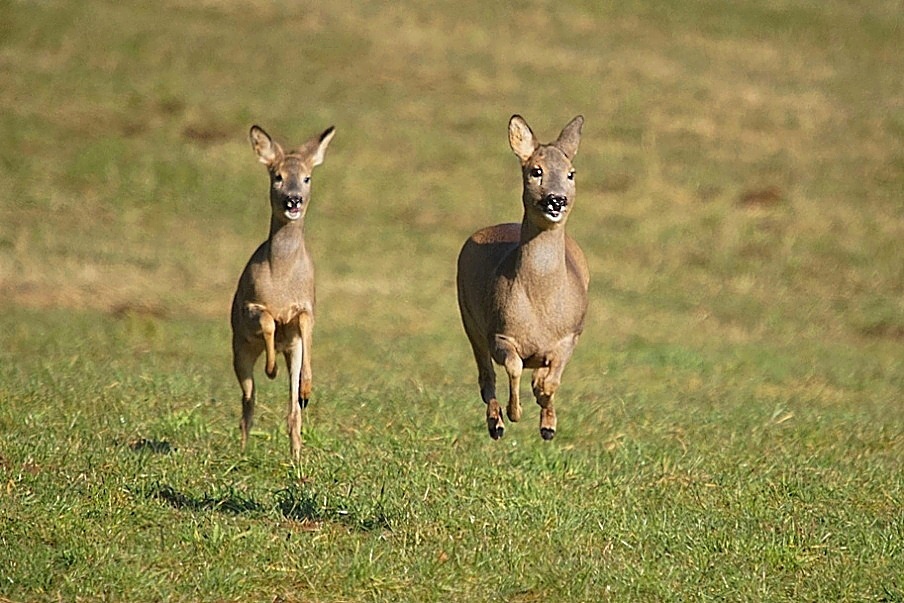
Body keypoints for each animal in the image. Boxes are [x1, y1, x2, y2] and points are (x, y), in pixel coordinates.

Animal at [230, 125, 336, 460]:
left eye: (307, 178)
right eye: (276, 176)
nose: (294, 200)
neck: (282, 278)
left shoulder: (307, 308)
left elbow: (303, 326)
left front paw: (307, 389)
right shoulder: (249, 307)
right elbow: (266, 321)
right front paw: (271, 369)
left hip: (287, 352)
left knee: (291, 412)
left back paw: (297, 456)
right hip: (238, 350)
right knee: (247, 402)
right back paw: (243, 451)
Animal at [456, 115, 588, 442]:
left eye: (571, 173)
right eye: (536, 171)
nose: (556, 200)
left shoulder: (570, 336)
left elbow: (550, 382)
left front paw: (547, 422)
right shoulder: (499, 334)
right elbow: (514, 366)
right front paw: (514, 412)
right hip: (468, 318)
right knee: (486, 377)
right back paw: (496, 424)